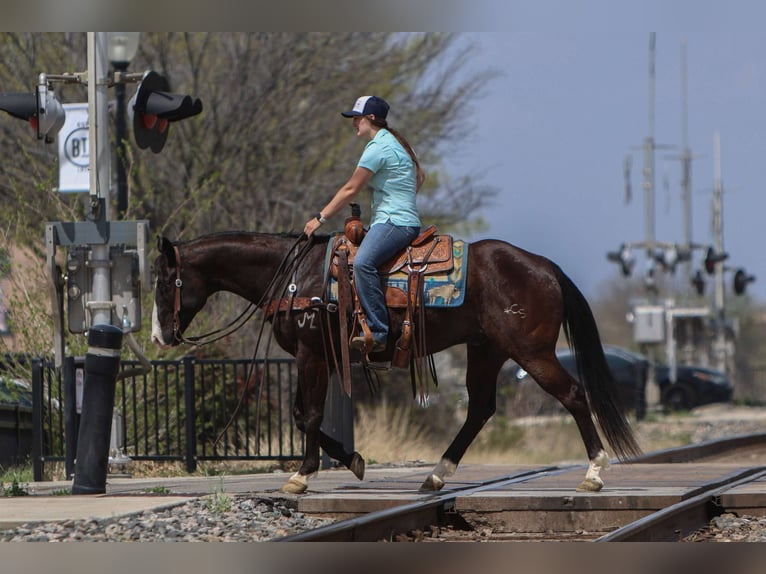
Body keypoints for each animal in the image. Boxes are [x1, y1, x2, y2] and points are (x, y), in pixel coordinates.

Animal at [150, 230, 642, 494]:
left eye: (164, 282)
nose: (159, 336)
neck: (294, 279)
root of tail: (545, 267)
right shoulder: (325, 359)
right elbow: (301, 414)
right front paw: (352, 459)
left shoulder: (312, 355)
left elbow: (308, 415)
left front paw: (302, 476)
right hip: (486, 350)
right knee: (480, 409)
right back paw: (436, 476)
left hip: (531, 352)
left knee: (573, 395)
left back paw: (594, 474)